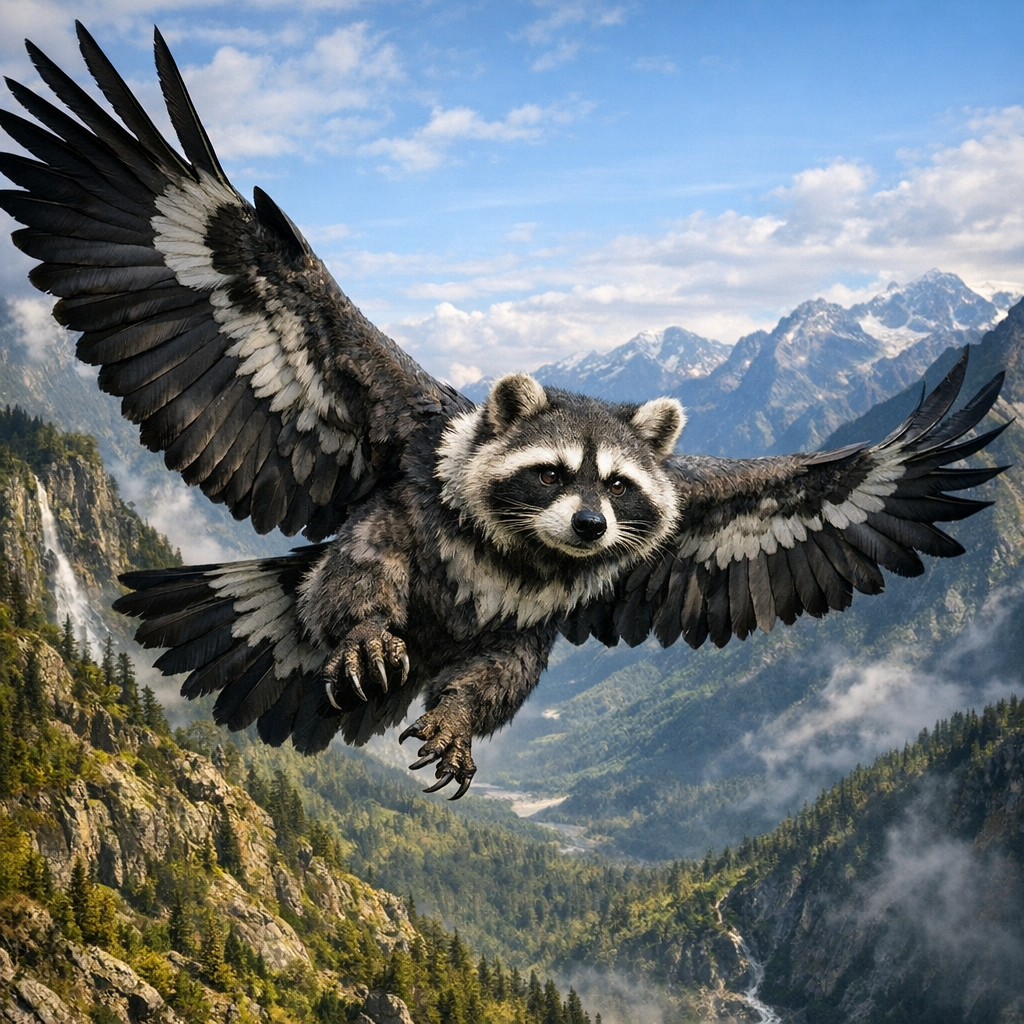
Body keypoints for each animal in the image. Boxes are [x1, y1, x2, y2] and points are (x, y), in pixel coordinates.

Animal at [0, 25, 1007, 799]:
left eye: (624, 488)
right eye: (553, 472)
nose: (593, 526)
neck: (520, 547)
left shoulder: (534, 617)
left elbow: (503, 673)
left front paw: (456, 720)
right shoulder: (407, 485)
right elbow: (369, 563)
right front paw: (365, 630)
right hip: (345, 564)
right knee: (335, 581)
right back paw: (361, 642)